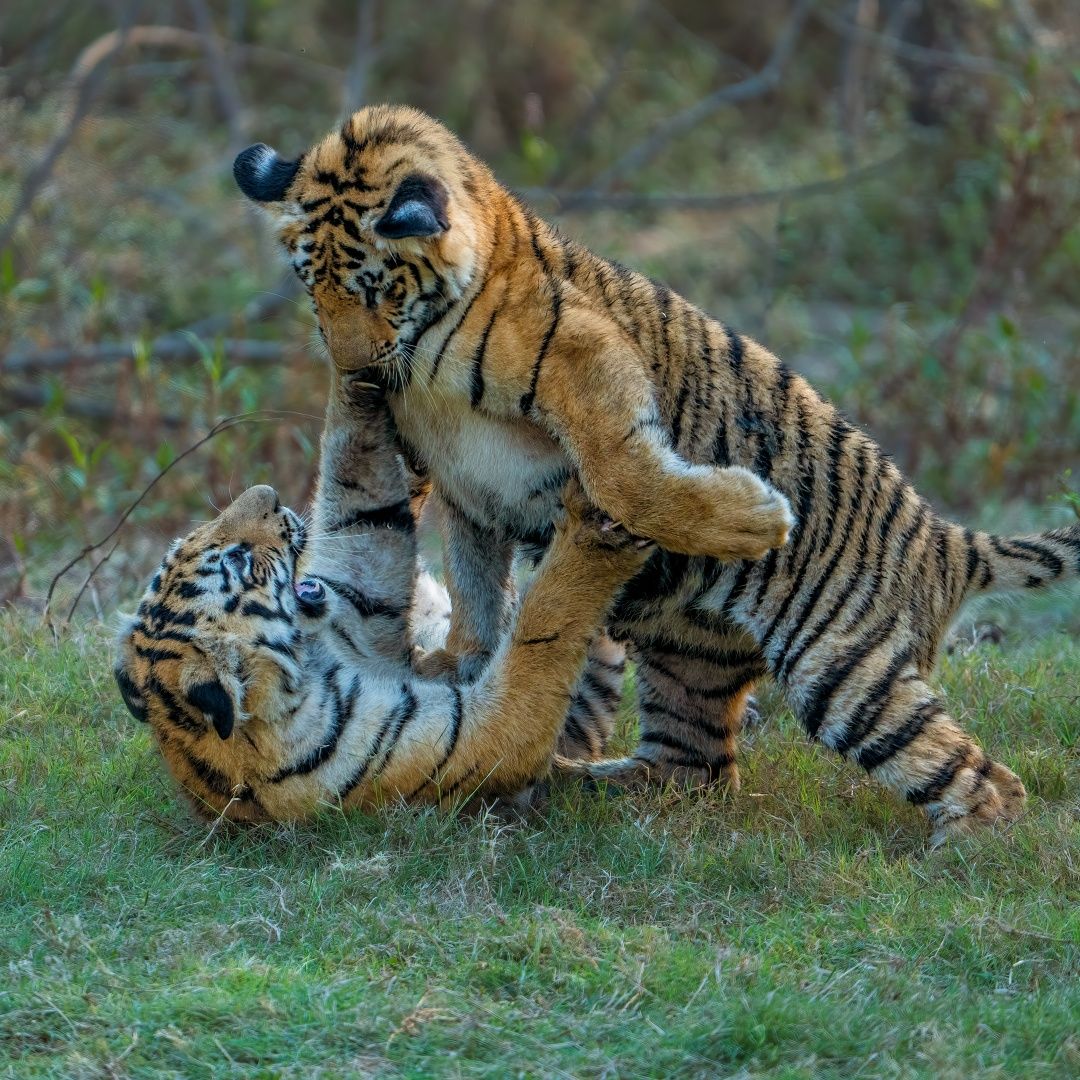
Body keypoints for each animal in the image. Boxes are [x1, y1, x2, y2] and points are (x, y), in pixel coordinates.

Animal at [112, 369, 651, 822]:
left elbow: (360, 501)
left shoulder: (360, 607)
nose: (267, 492)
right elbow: (542, 633)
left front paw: (357, 376)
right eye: (237, 561)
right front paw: (593, 525)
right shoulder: (480, 732)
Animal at [232, 105, 1079, 843]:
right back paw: (584, 783)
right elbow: (473, 581)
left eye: (374, 284)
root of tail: (944, 536)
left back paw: (964, 847)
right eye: (311, 284)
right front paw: (463, 662)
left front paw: (755, 517)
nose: (352, 369)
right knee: (695, 766)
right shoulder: (462, 489)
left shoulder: (581, 353)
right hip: (685, 659)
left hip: (841, 666)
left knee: (982, 778)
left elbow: (621, 471)